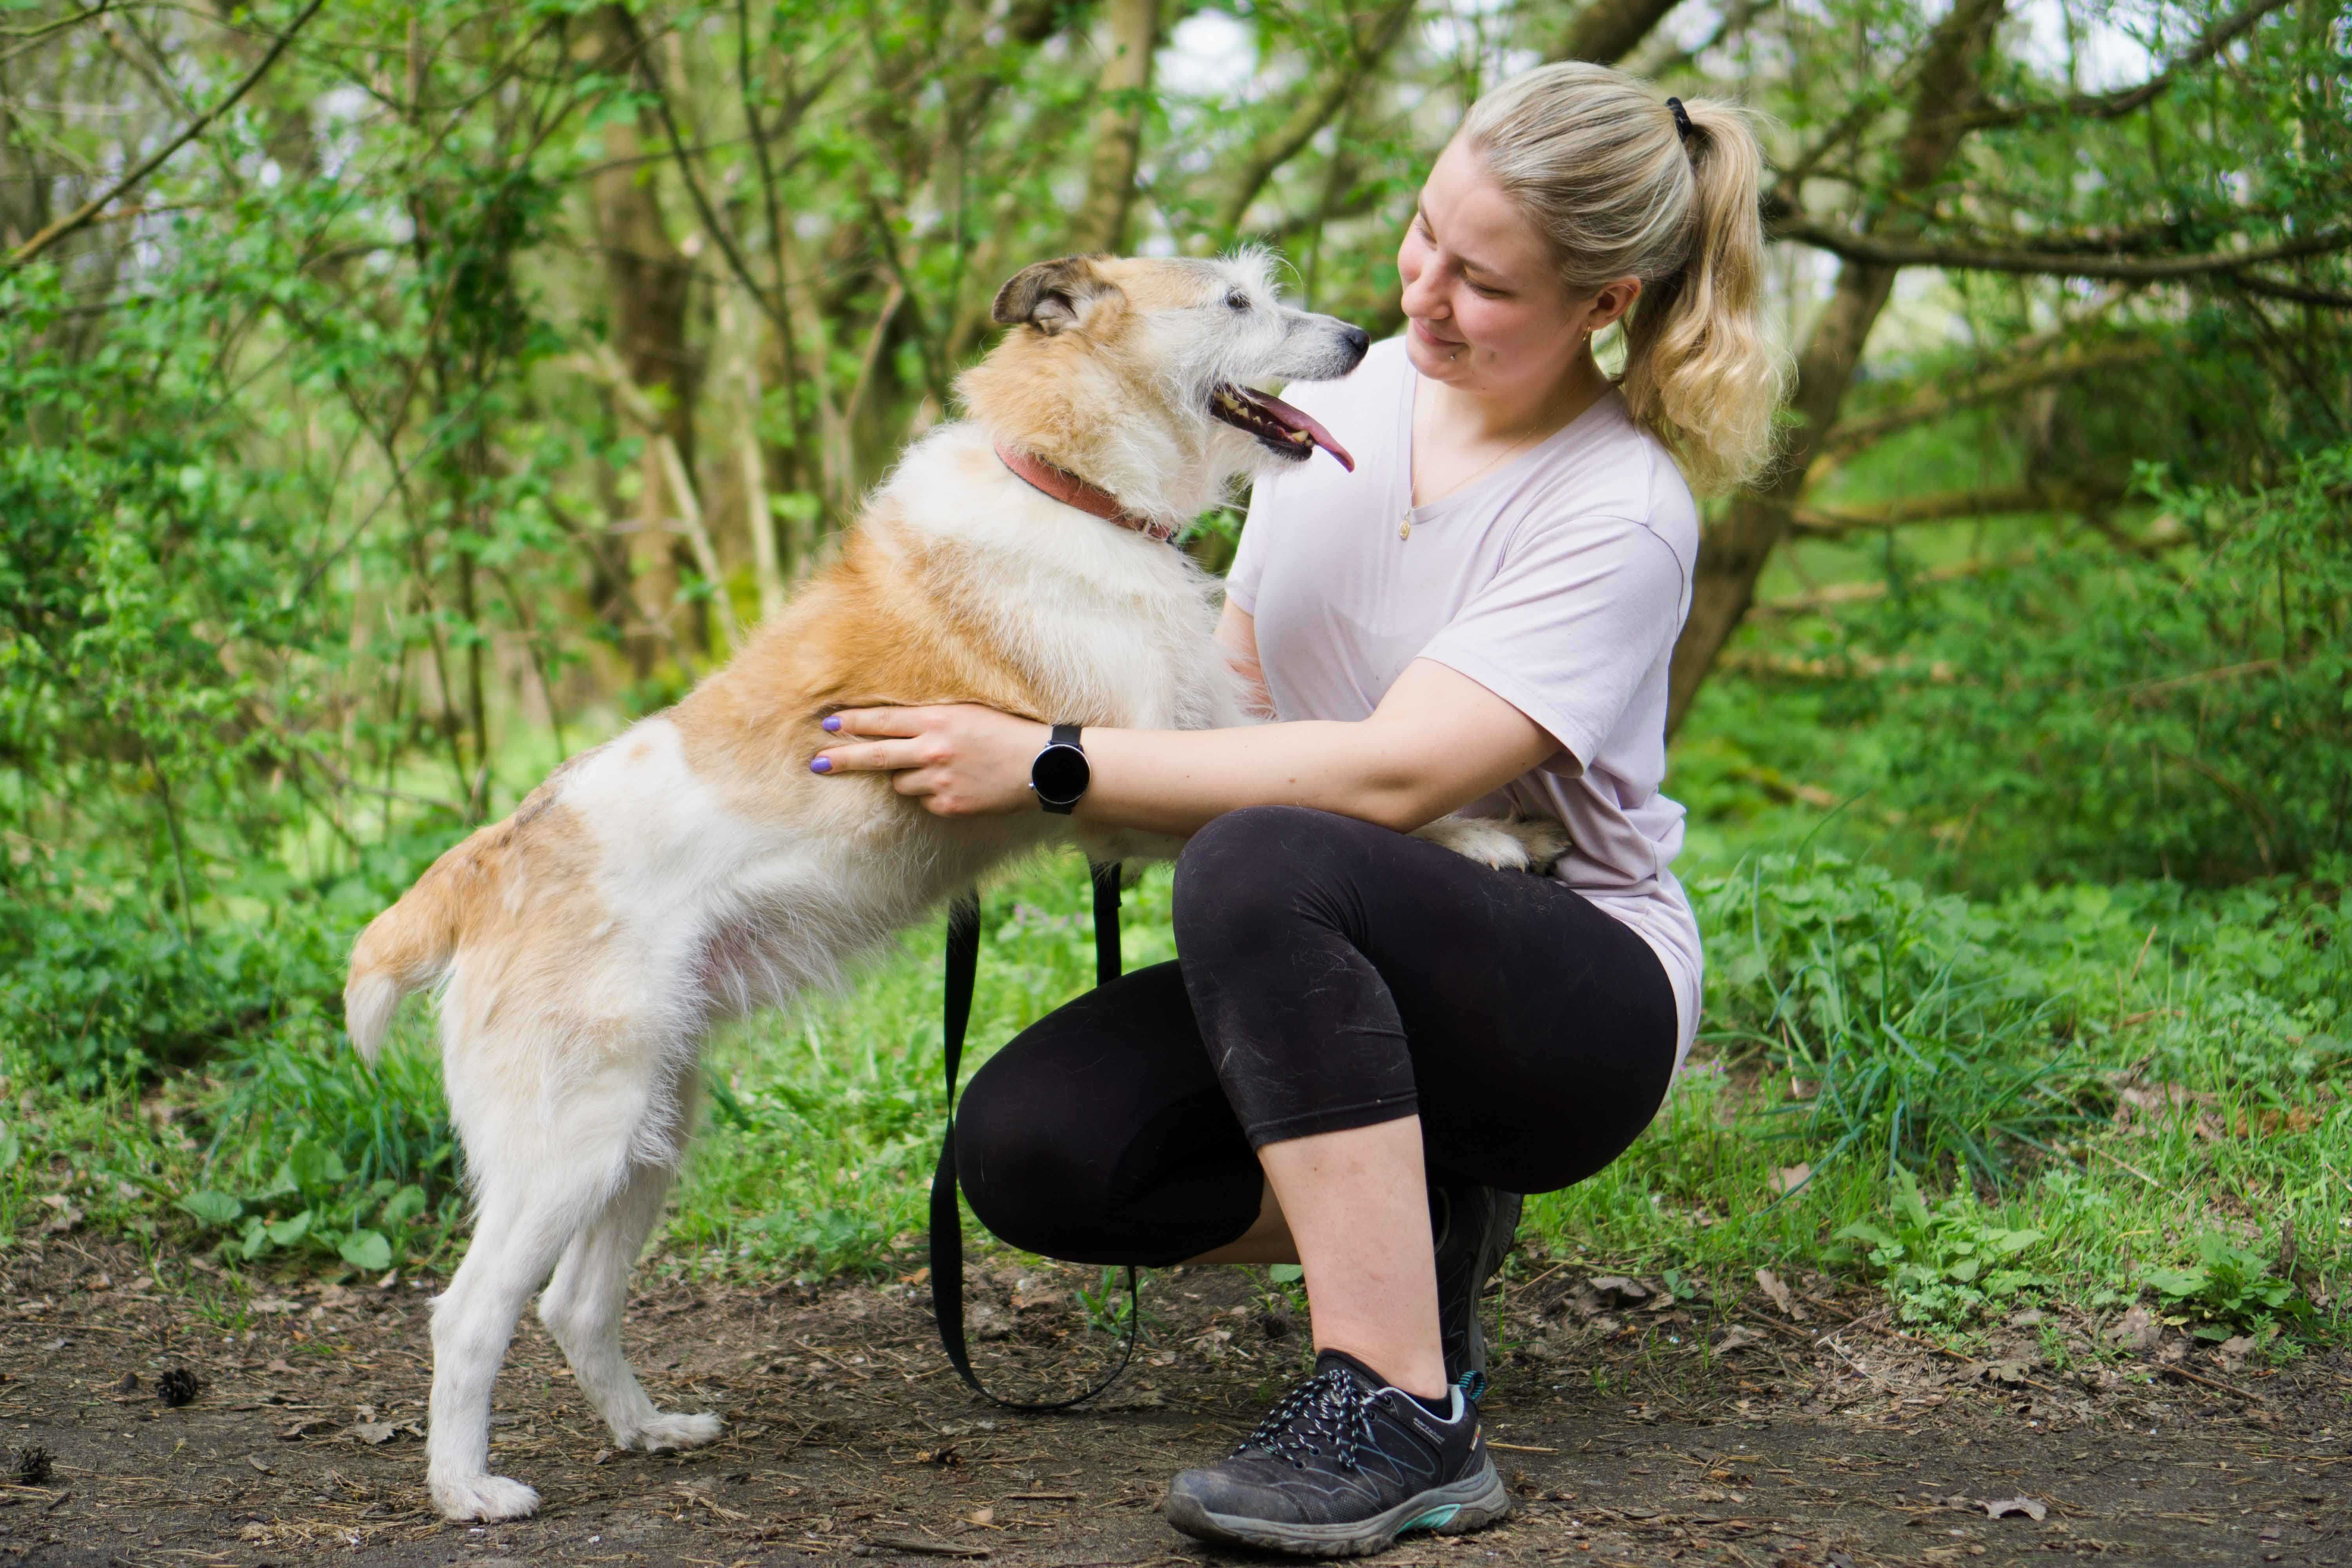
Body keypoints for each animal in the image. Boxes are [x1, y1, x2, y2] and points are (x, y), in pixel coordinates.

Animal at [343, 255, 1562, 1523]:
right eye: (1233, 302)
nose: (1361, 336)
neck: (1072, 490)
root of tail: (486, 866)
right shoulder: (1134, 773)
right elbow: (1344, 784)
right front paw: (1480, 834)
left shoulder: (1195, 733)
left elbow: (1334, 754)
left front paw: (1486, 824)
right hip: (571, 1143)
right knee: (468, 1314)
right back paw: (468, 1488)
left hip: (648, 1127)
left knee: (573, 1303)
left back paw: (648, 1429)